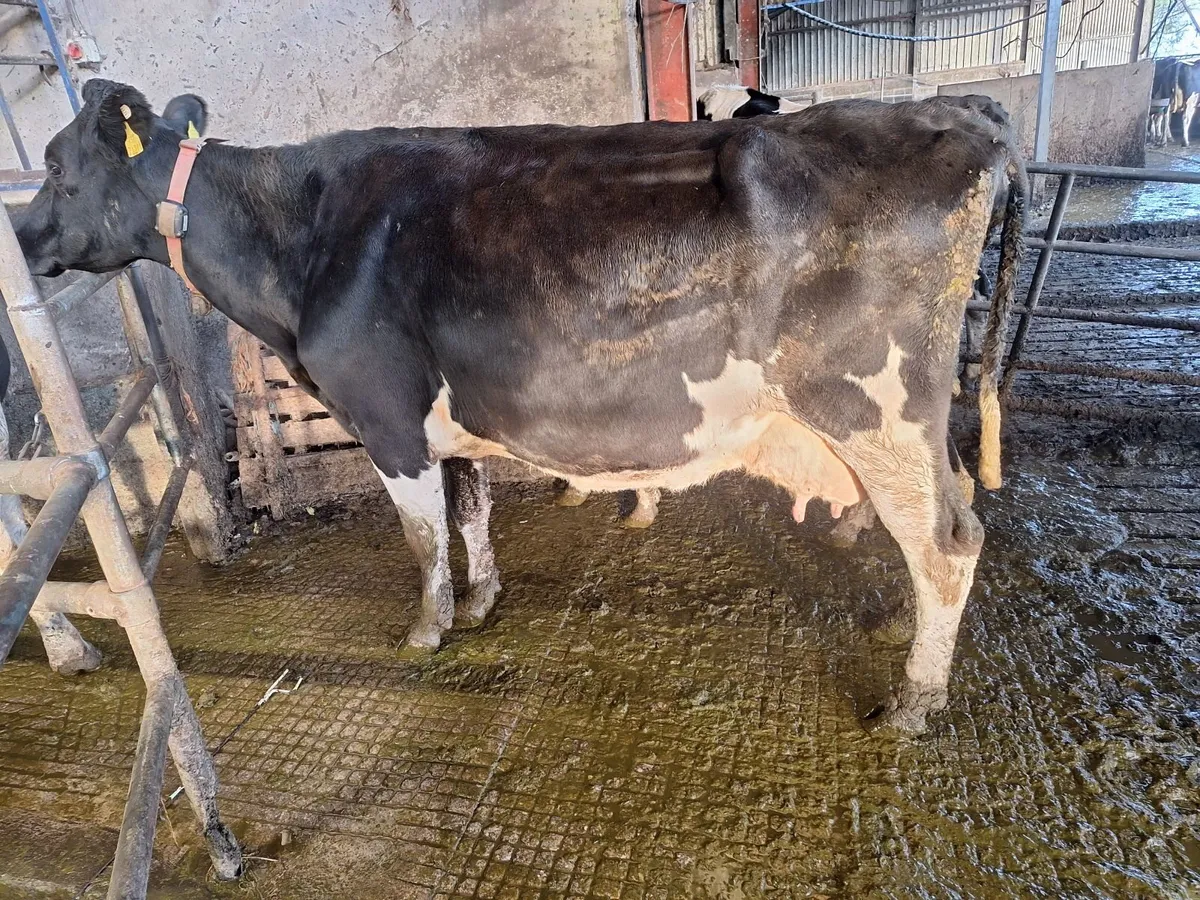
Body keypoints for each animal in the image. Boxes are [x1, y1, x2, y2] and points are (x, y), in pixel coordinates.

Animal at [15, 79, 1025, 734]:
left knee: (948, 539)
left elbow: (422, 535)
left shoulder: (385, 416)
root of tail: (957, 108)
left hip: (877, 407)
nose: (19, 239)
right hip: (892, 425)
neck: (298, 241)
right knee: (940, 526)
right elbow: (470, 511)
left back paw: (914, 702)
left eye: (58, 169)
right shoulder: (446, 423)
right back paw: (899, 631)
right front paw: (482, 601)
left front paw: (426, 631)